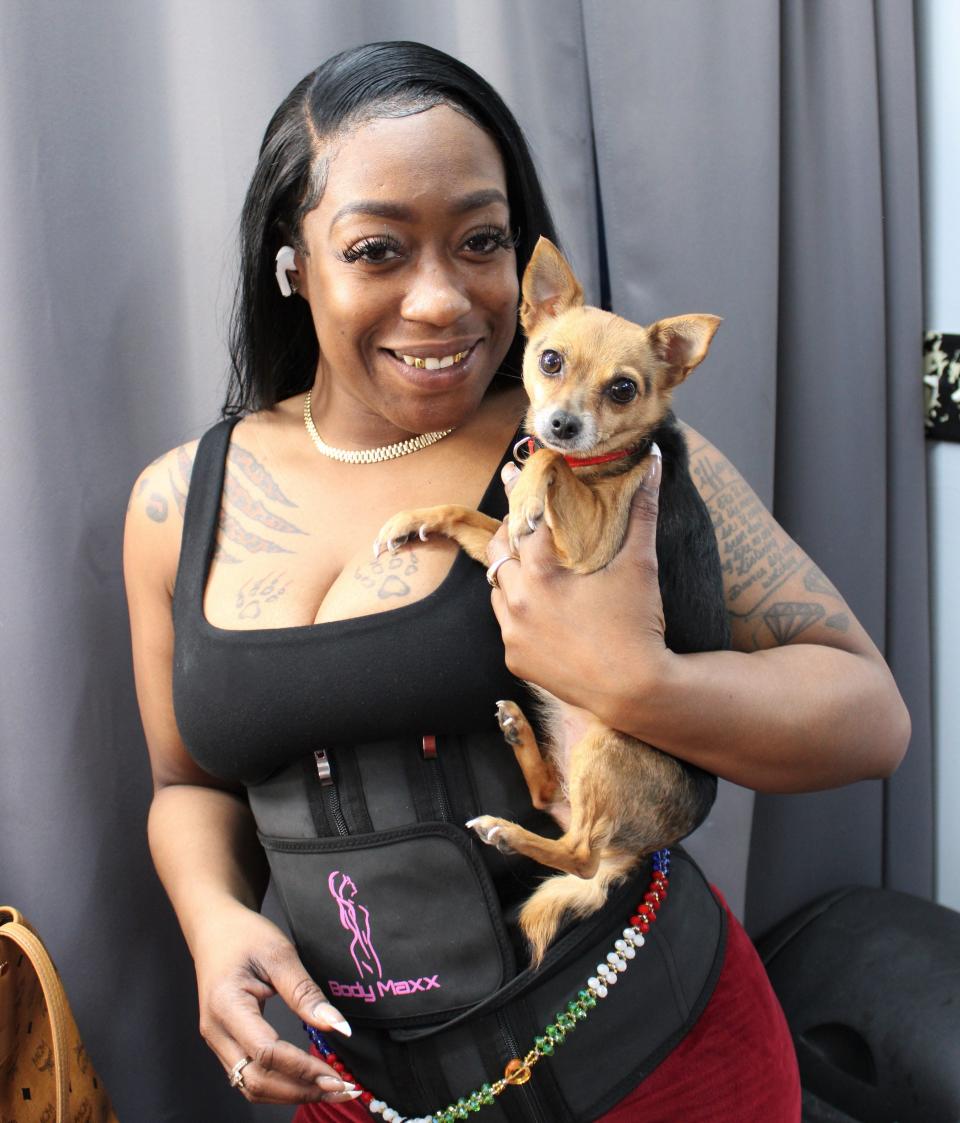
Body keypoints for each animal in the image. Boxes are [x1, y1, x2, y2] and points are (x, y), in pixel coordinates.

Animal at [372, 239, 723, 965]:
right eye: (550, 360)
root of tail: (641, 848)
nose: (561, 423)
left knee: (580, 854)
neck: (599, 466)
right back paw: (517, 736)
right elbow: (465, 514)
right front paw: (413, 520)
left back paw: (508, 833)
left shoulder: (592, 540)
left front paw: (535, 483)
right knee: (555, 806)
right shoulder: (499, 544)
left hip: (613, 744)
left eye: (623, 389)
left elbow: (550, 466)